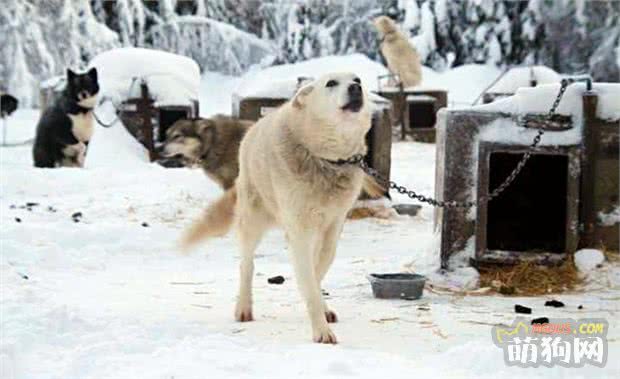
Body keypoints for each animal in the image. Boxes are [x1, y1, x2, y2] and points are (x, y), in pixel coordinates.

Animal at [180, 73, 382, 344]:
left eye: (357, 79)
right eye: (331, 83)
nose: (356, 88)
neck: (324, 158)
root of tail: (253, 128)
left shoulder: (332, 227)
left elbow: (318, 270)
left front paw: (319, 306)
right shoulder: (299, 230)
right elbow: (308, 280)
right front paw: (321, 331)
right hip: (253, 222)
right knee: (246, 266)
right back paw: (243, 308)